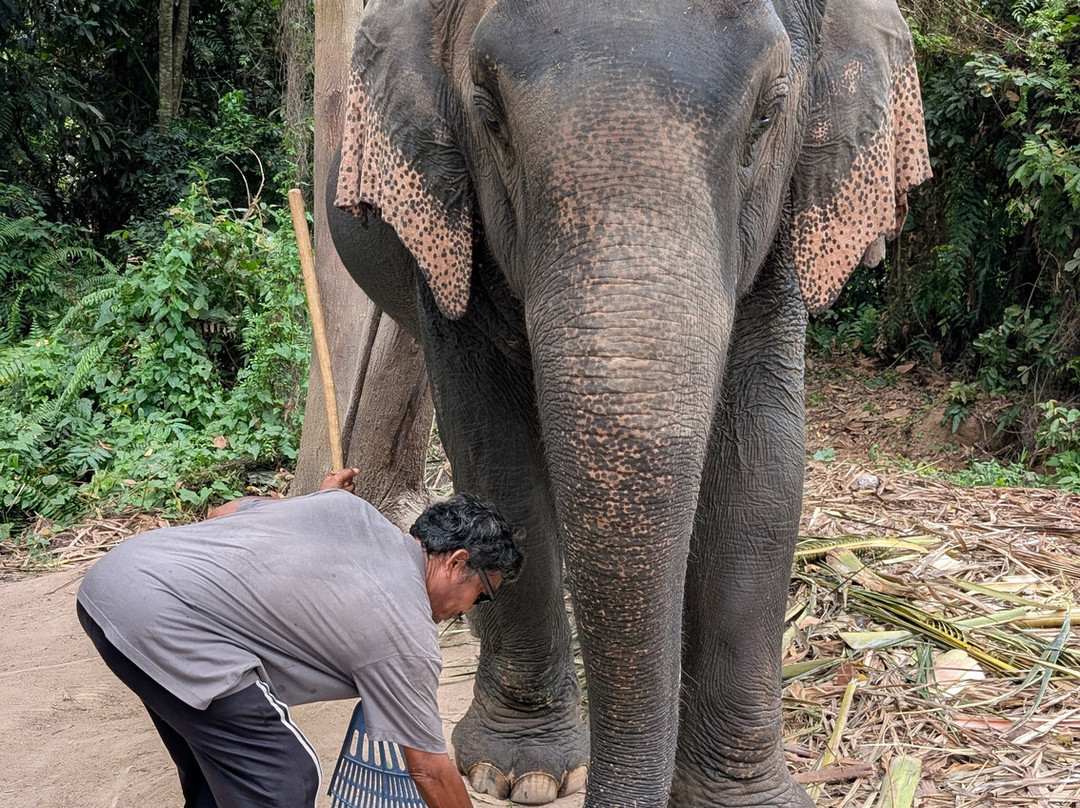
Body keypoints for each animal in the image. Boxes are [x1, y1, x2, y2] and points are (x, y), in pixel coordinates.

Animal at [326, 1, 931, 806]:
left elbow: (762, 468)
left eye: (768, 115)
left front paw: (742, 800)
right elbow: (494, 447)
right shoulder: (457, 233)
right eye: (490, 116)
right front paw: (521, 774)